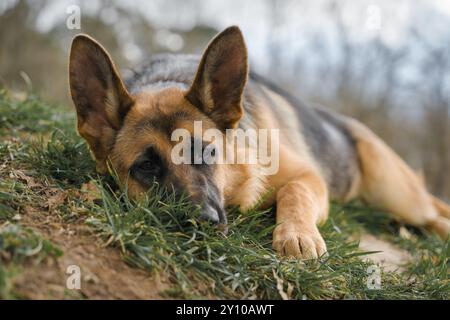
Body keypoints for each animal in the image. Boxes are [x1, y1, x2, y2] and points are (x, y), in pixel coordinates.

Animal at [68, 25, 450, 260]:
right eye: (146, 166)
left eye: (207, 151)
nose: (202, 223)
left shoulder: (309, 178)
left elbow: (294, 192)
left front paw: (297, 234)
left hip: (402, 198)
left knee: (433, 212)